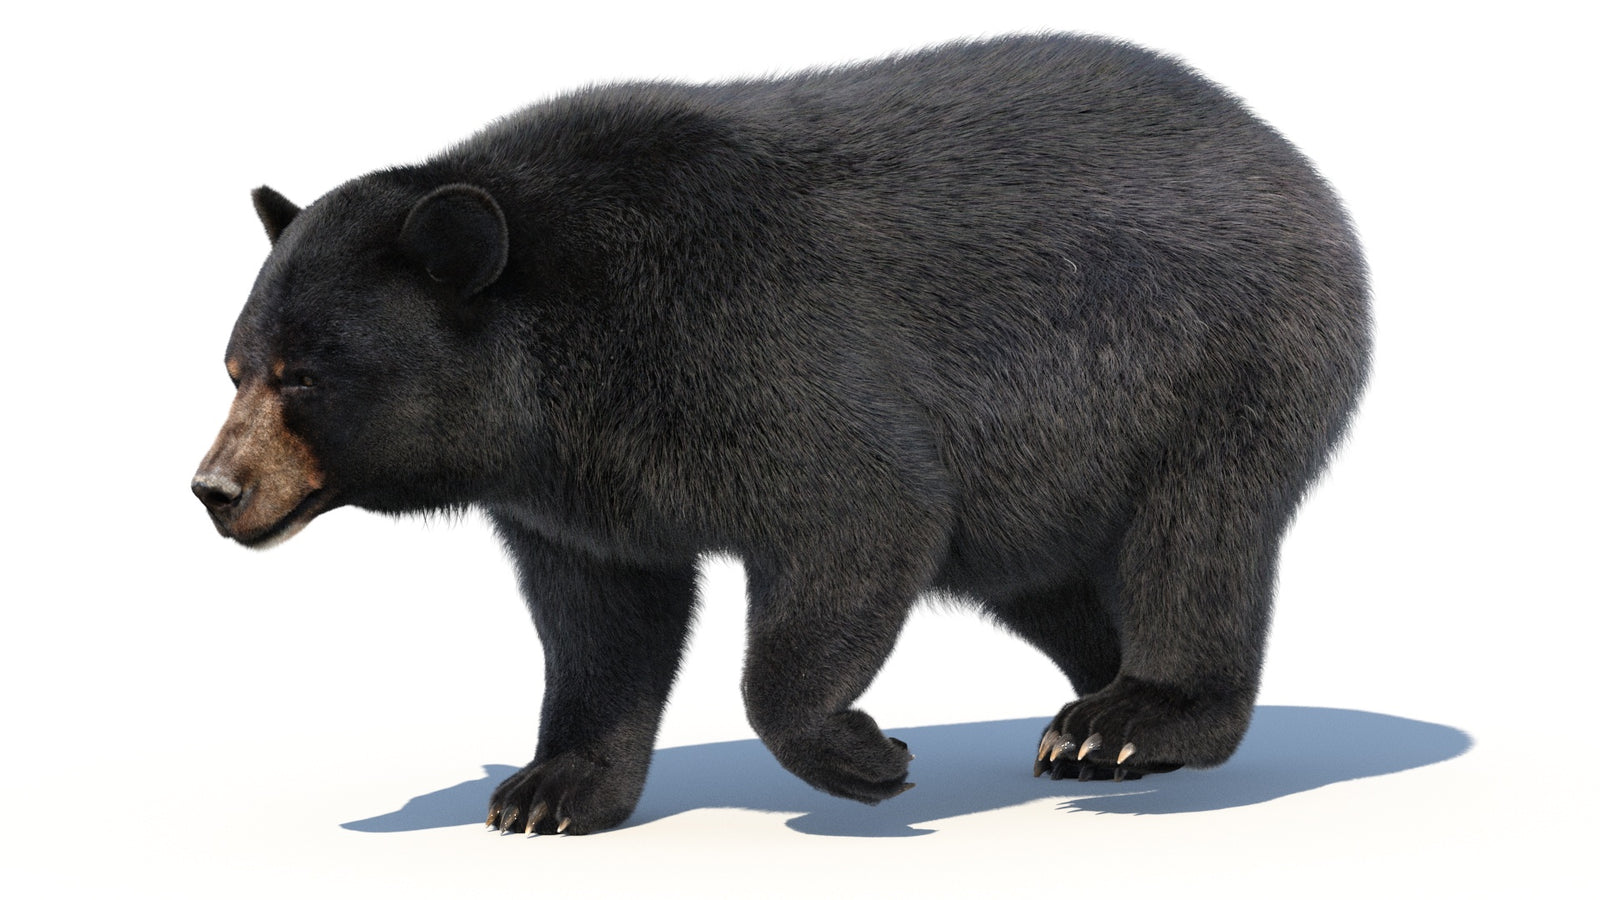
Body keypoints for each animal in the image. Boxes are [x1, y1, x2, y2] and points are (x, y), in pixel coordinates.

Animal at [193, 34, 1370, 835]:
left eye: (306, 375)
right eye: (237, 366)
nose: (215, 489)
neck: (558, 366)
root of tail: (1284, 153)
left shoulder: (744, 348)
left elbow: (861, 508)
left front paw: (861, 753)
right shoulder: (577, 487)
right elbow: (601, 619)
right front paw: (552, 789)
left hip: (1215, 363)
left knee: (1195, 538)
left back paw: (1130, 721)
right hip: (1046, 480)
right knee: (1056, 578)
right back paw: (1089, 701)